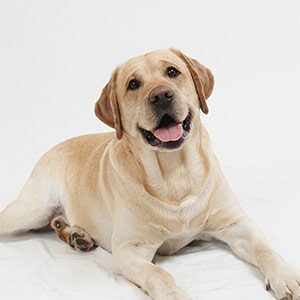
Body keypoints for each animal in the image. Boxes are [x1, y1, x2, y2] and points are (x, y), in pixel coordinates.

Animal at [0, 49, 300, 300]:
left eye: (172, 72)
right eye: (133, 84)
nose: (161, 96)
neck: (175, 173)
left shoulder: (234, 224)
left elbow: (265, 248)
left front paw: (286, 276)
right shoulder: (129, 250)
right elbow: (160, 274)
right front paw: (176, 296)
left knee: (56, 224)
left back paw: (75, 234)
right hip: (32, 209)